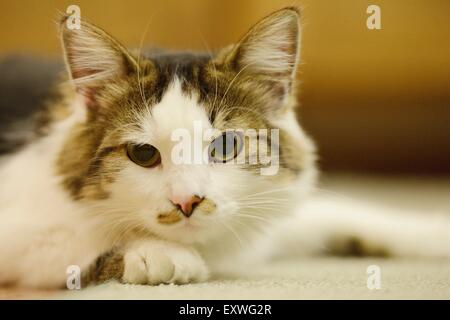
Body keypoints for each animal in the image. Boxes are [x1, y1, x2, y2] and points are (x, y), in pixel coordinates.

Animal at [0, 7, 448, 288]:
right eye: (143, 155)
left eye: (227, 145)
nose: (187, 202)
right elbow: (68, 241)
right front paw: (156, 253)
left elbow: (348, 210)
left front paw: (435, 231)